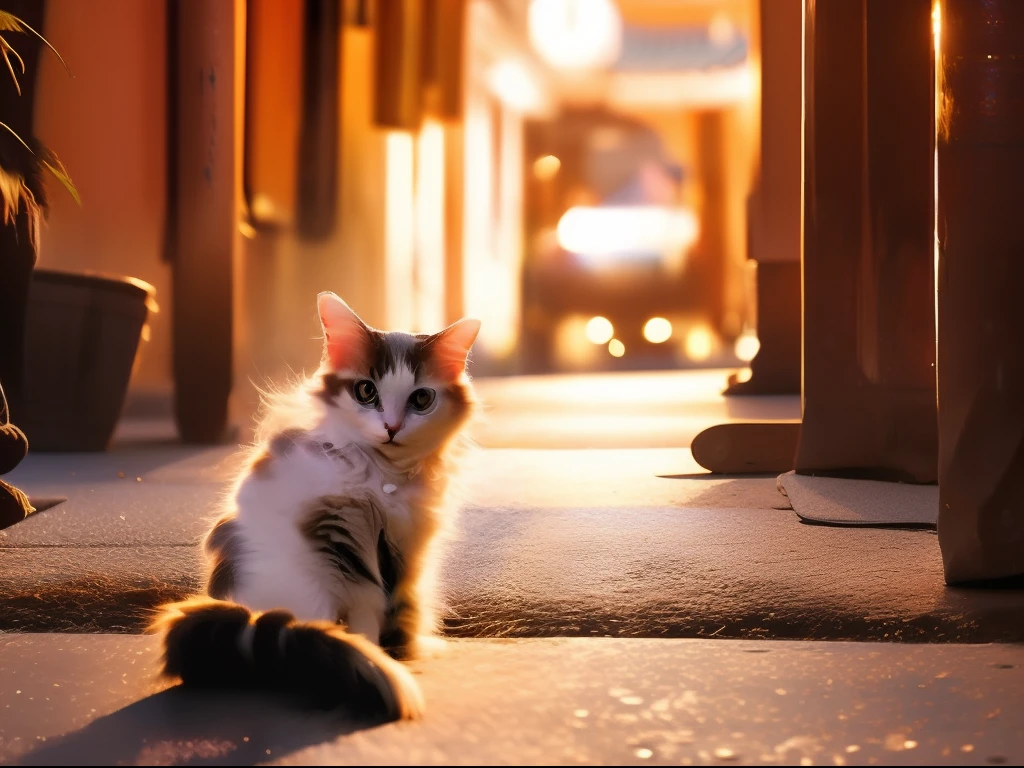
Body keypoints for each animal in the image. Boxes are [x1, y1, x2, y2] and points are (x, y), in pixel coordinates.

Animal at [149, 292, 481, 720]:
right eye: (366, 392)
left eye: (421, 398)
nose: (391, 427)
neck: (385, 474)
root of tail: (253, 621)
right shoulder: (337, 535)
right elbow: (367, 608)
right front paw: (376, 654)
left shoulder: (409, 547)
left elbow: (401, 604)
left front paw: (405, 650)